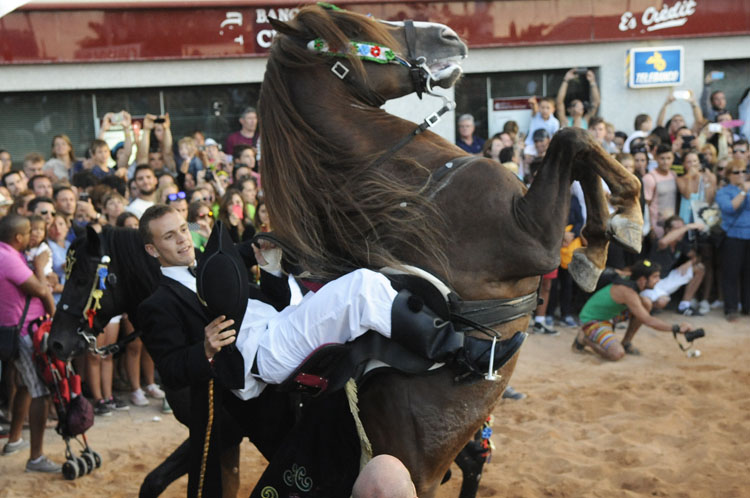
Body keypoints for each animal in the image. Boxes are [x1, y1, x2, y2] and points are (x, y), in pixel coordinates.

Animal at [262, 4, 644, 498]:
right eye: (351, 28)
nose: (448, 35)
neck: (413, 179)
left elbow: (577, 149)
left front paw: (599, 242)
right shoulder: (534, 240)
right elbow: (572, 137)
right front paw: (623, 217)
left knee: (474, 462)